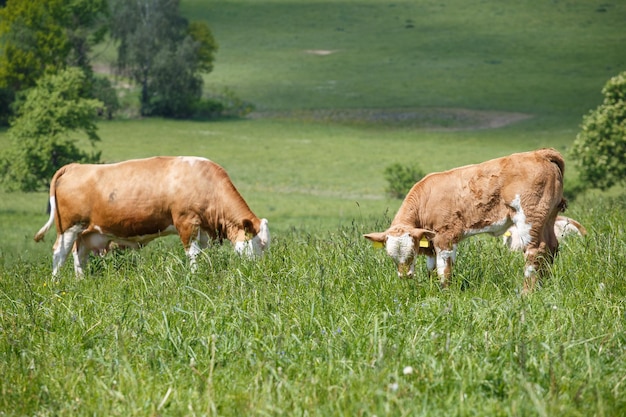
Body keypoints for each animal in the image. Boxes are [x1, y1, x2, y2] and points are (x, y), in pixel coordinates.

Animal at [34, 156, 268, 276]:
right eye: (258, 244)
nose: (259, 269)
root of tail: (74, 166)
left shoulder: (203, 229)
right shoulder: (186, 222)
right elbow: (193, 254)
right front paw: (194, 277)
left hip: (86, 233)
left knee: (79, 257)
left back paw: (81, 282)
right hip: (69, 228)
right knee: (59, 254)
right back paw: (56, 285)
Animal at [364, 148, 564, 290]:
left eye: (412, 253)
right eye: (391, 256)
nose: (405, 276)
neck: (426, 199)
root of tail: (539, 153)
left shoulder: (445, 237)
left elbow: (444, 269)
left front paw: (446, 293)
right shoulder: (430, 244)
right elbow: (431, 269)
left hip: (528, 217)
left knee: (534, 251)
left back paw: (527, 291)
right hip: (549, 216)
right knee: (551, 247)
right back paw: (544, 285)